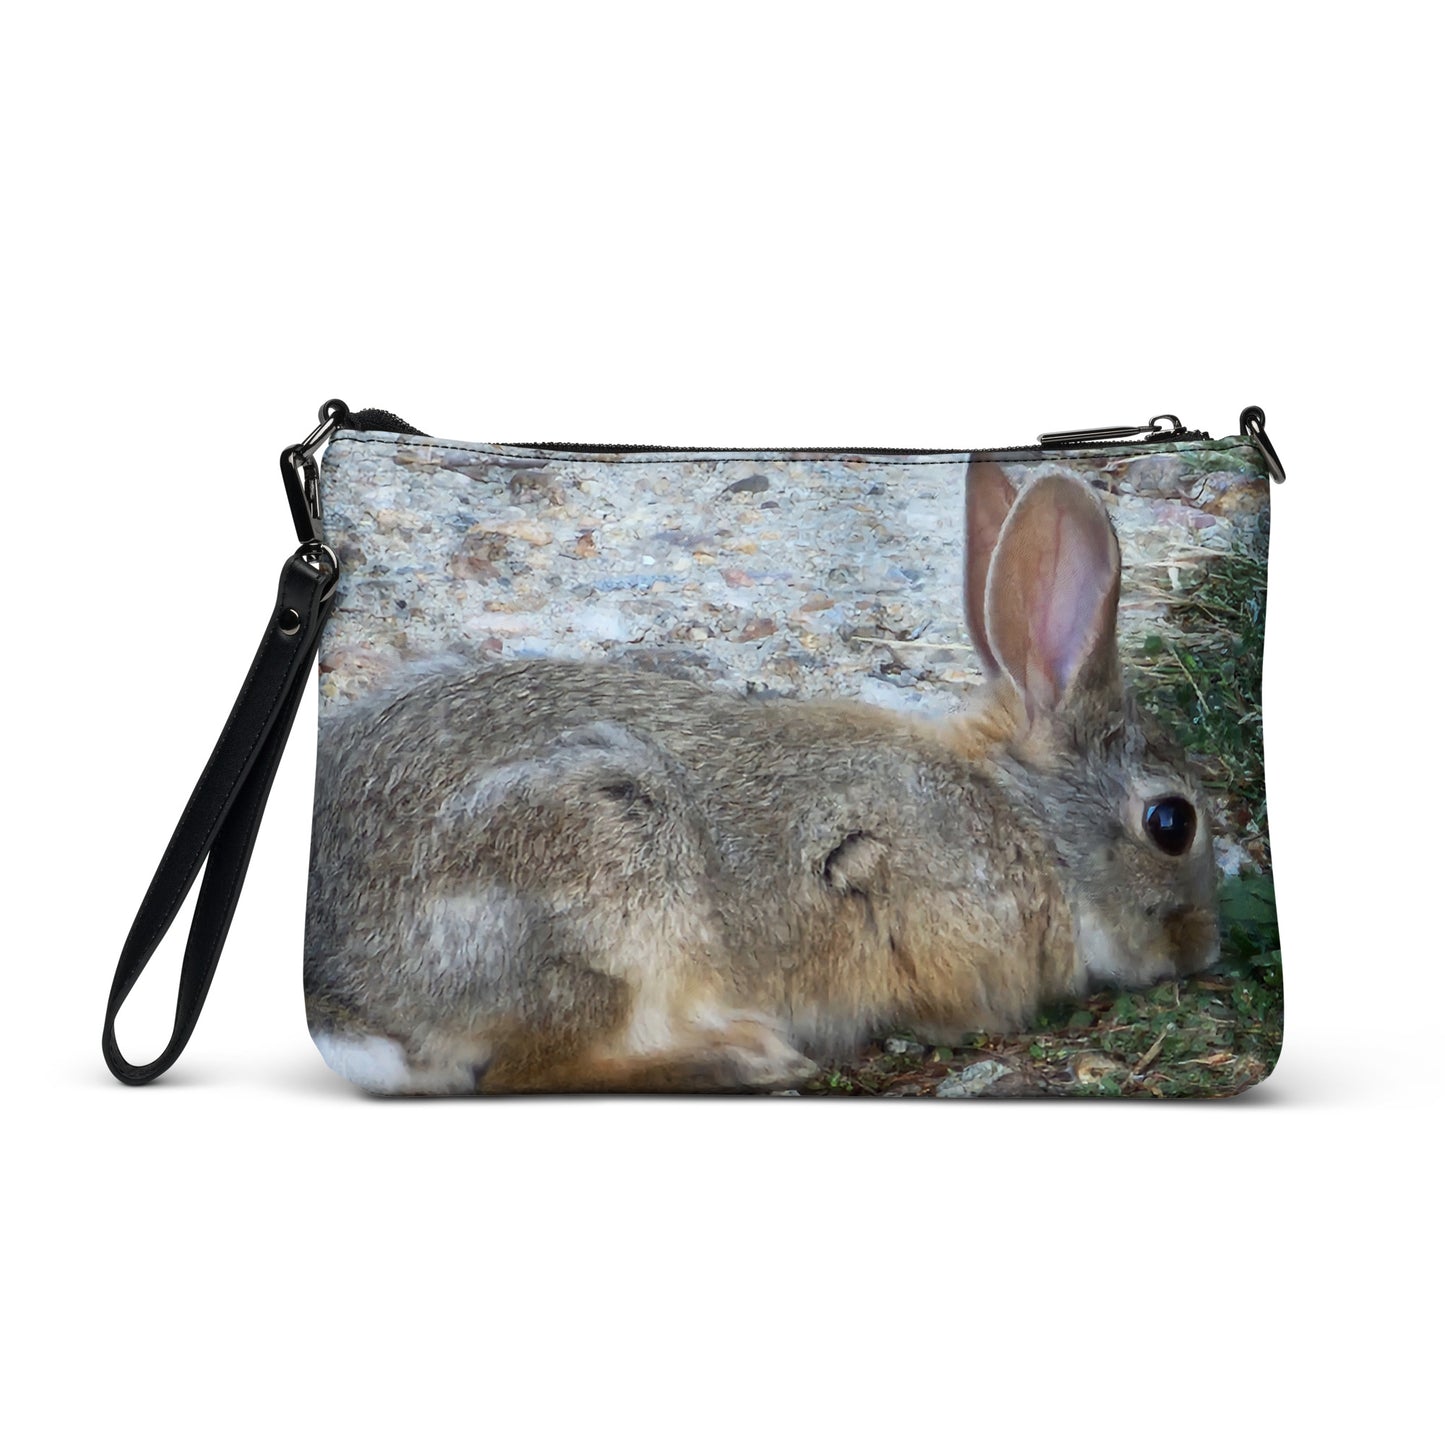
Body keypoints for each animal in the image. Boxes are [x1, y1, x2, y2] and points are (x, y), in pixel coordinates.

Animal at [304, 461, 1219, 1094]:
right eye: (1170, 823)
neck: (1021, 816)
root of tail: (343, 998)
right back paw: (746, 1058)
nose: (1203, 949)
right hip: (604, 860)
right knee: (531, 1068)